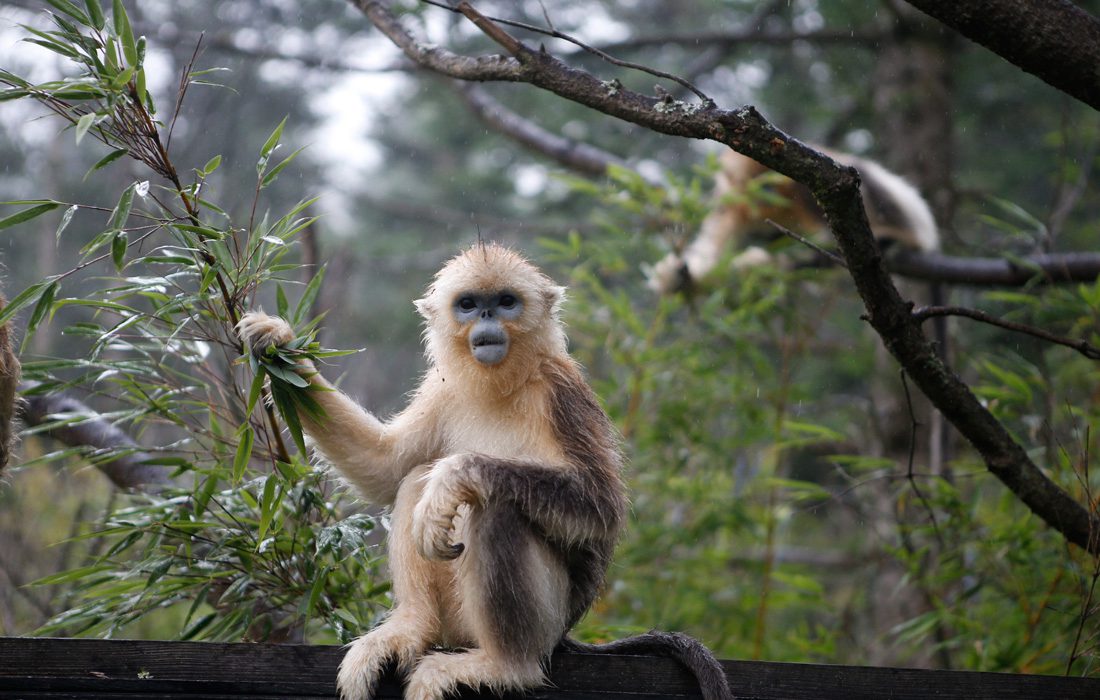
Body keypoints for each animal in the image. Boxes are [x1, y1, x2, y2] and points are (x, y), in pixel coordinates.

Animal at [235, 244, 730, 700]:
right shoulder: (442, 391)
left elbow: (601, 506)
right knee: (415, 478)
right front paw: (276, 345)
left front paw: (454, 476)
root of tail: (564, 636)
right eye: (469, 304)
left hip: (546, 619)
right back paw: (410, 628)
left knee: (493, 508)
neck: (503, 384)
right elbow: (386, 468)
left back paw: (502, 665)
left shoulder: (561, 392)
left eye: (506, 301)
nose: (488, 318)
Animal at [646, 148, 941, 294]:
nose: (764, 195)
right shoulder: (730, 204)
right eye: (759, 187)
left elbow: (832, 251)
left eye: (769, 183)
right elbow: (710, 251)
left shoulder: (810, 190)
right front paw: (677, 277)